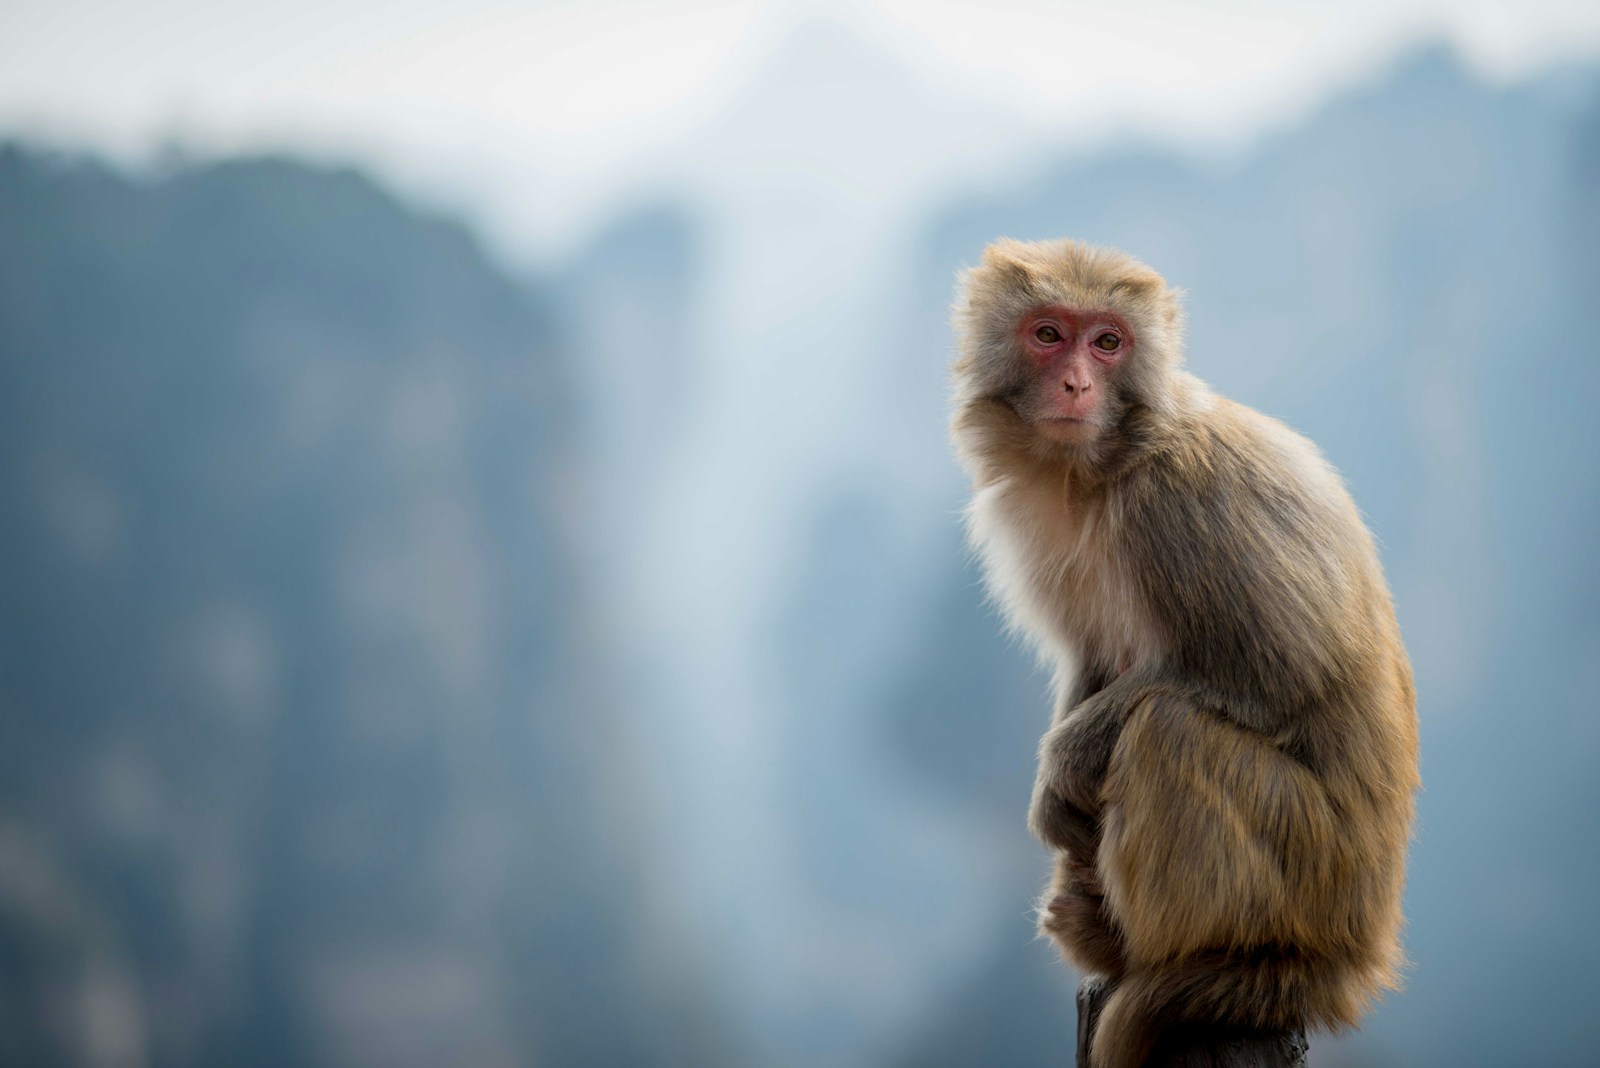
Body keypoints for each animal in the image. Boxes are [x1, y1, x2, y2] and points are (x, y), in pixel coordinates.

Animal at [940, 238, 1420, 1061]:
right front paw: (1058, 802)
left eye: (1108, 342)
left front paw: (1059, 771)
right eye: (1048, 335)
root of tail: (1355, 954)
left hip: (1309, 864)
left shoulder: (1185, 505)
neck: (1103, 466)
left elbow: (1280, 670)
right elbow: (1094, 660)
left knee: (1168, 729)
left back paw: (1190, 962)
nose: (1076, 382)